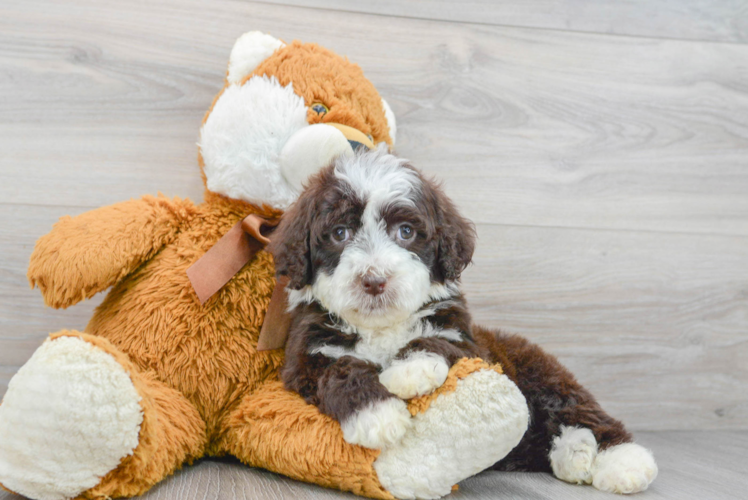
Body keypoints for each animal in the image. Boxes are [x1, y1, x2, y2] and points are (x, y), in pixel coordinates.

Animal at [270, 146, 486, 450]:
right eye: (340, 233)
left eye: (406, 231)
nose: (374, 281)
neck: (379, 327)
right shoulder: (306, 358)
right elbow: (342, 370)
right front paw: (378, 416)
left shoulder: (469, 343)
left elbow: (440, 341)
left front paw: (411, 368)